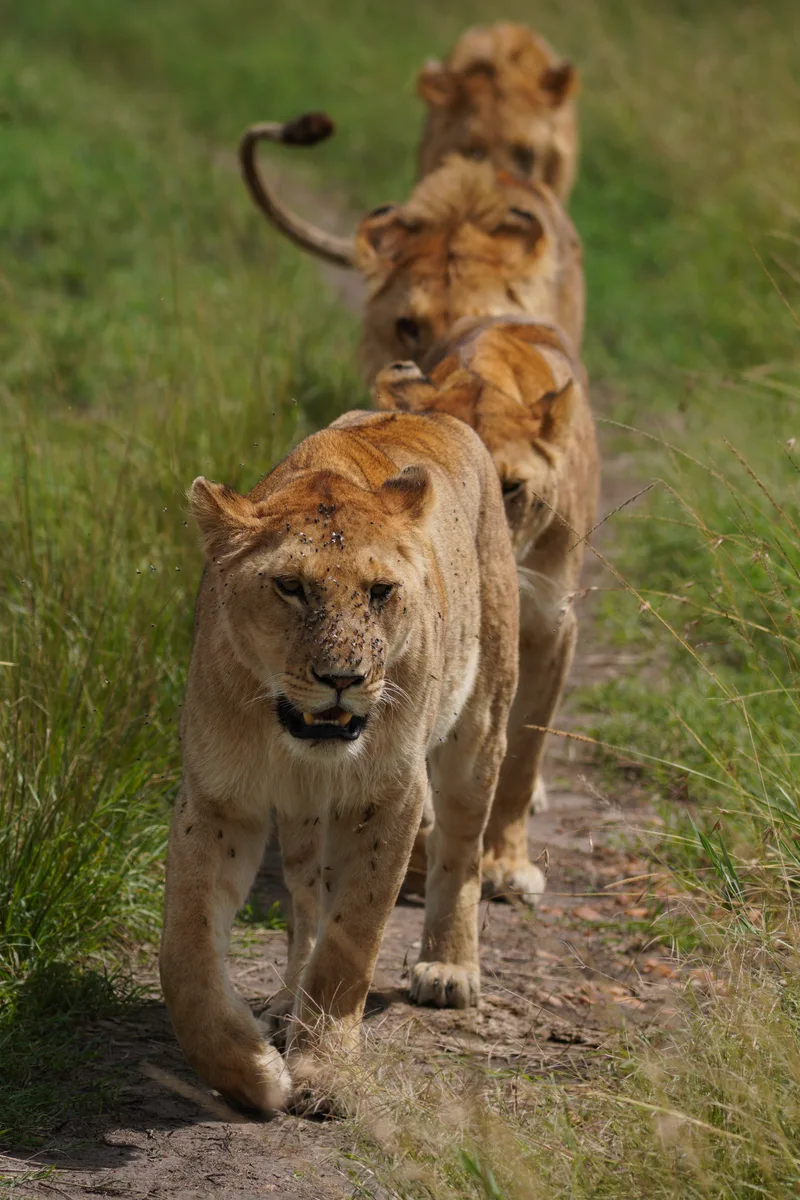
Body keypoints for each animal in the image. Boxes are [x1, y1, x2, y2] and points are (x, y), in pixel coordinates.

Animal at [159, 398, 519, 1113]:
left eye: (380, 591)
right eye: (290, 586)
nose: (342, 678)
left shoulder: (391, 795)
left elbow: (352, 941)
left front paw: (324, 1070)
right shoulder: (219, 798)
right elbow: (184, 951)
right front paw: (249, 1071)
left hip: (481, 722)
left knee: (461, 848)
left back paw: (449, 968)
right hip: (302, 818)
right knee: (305, 899)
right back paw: (281, 1006)